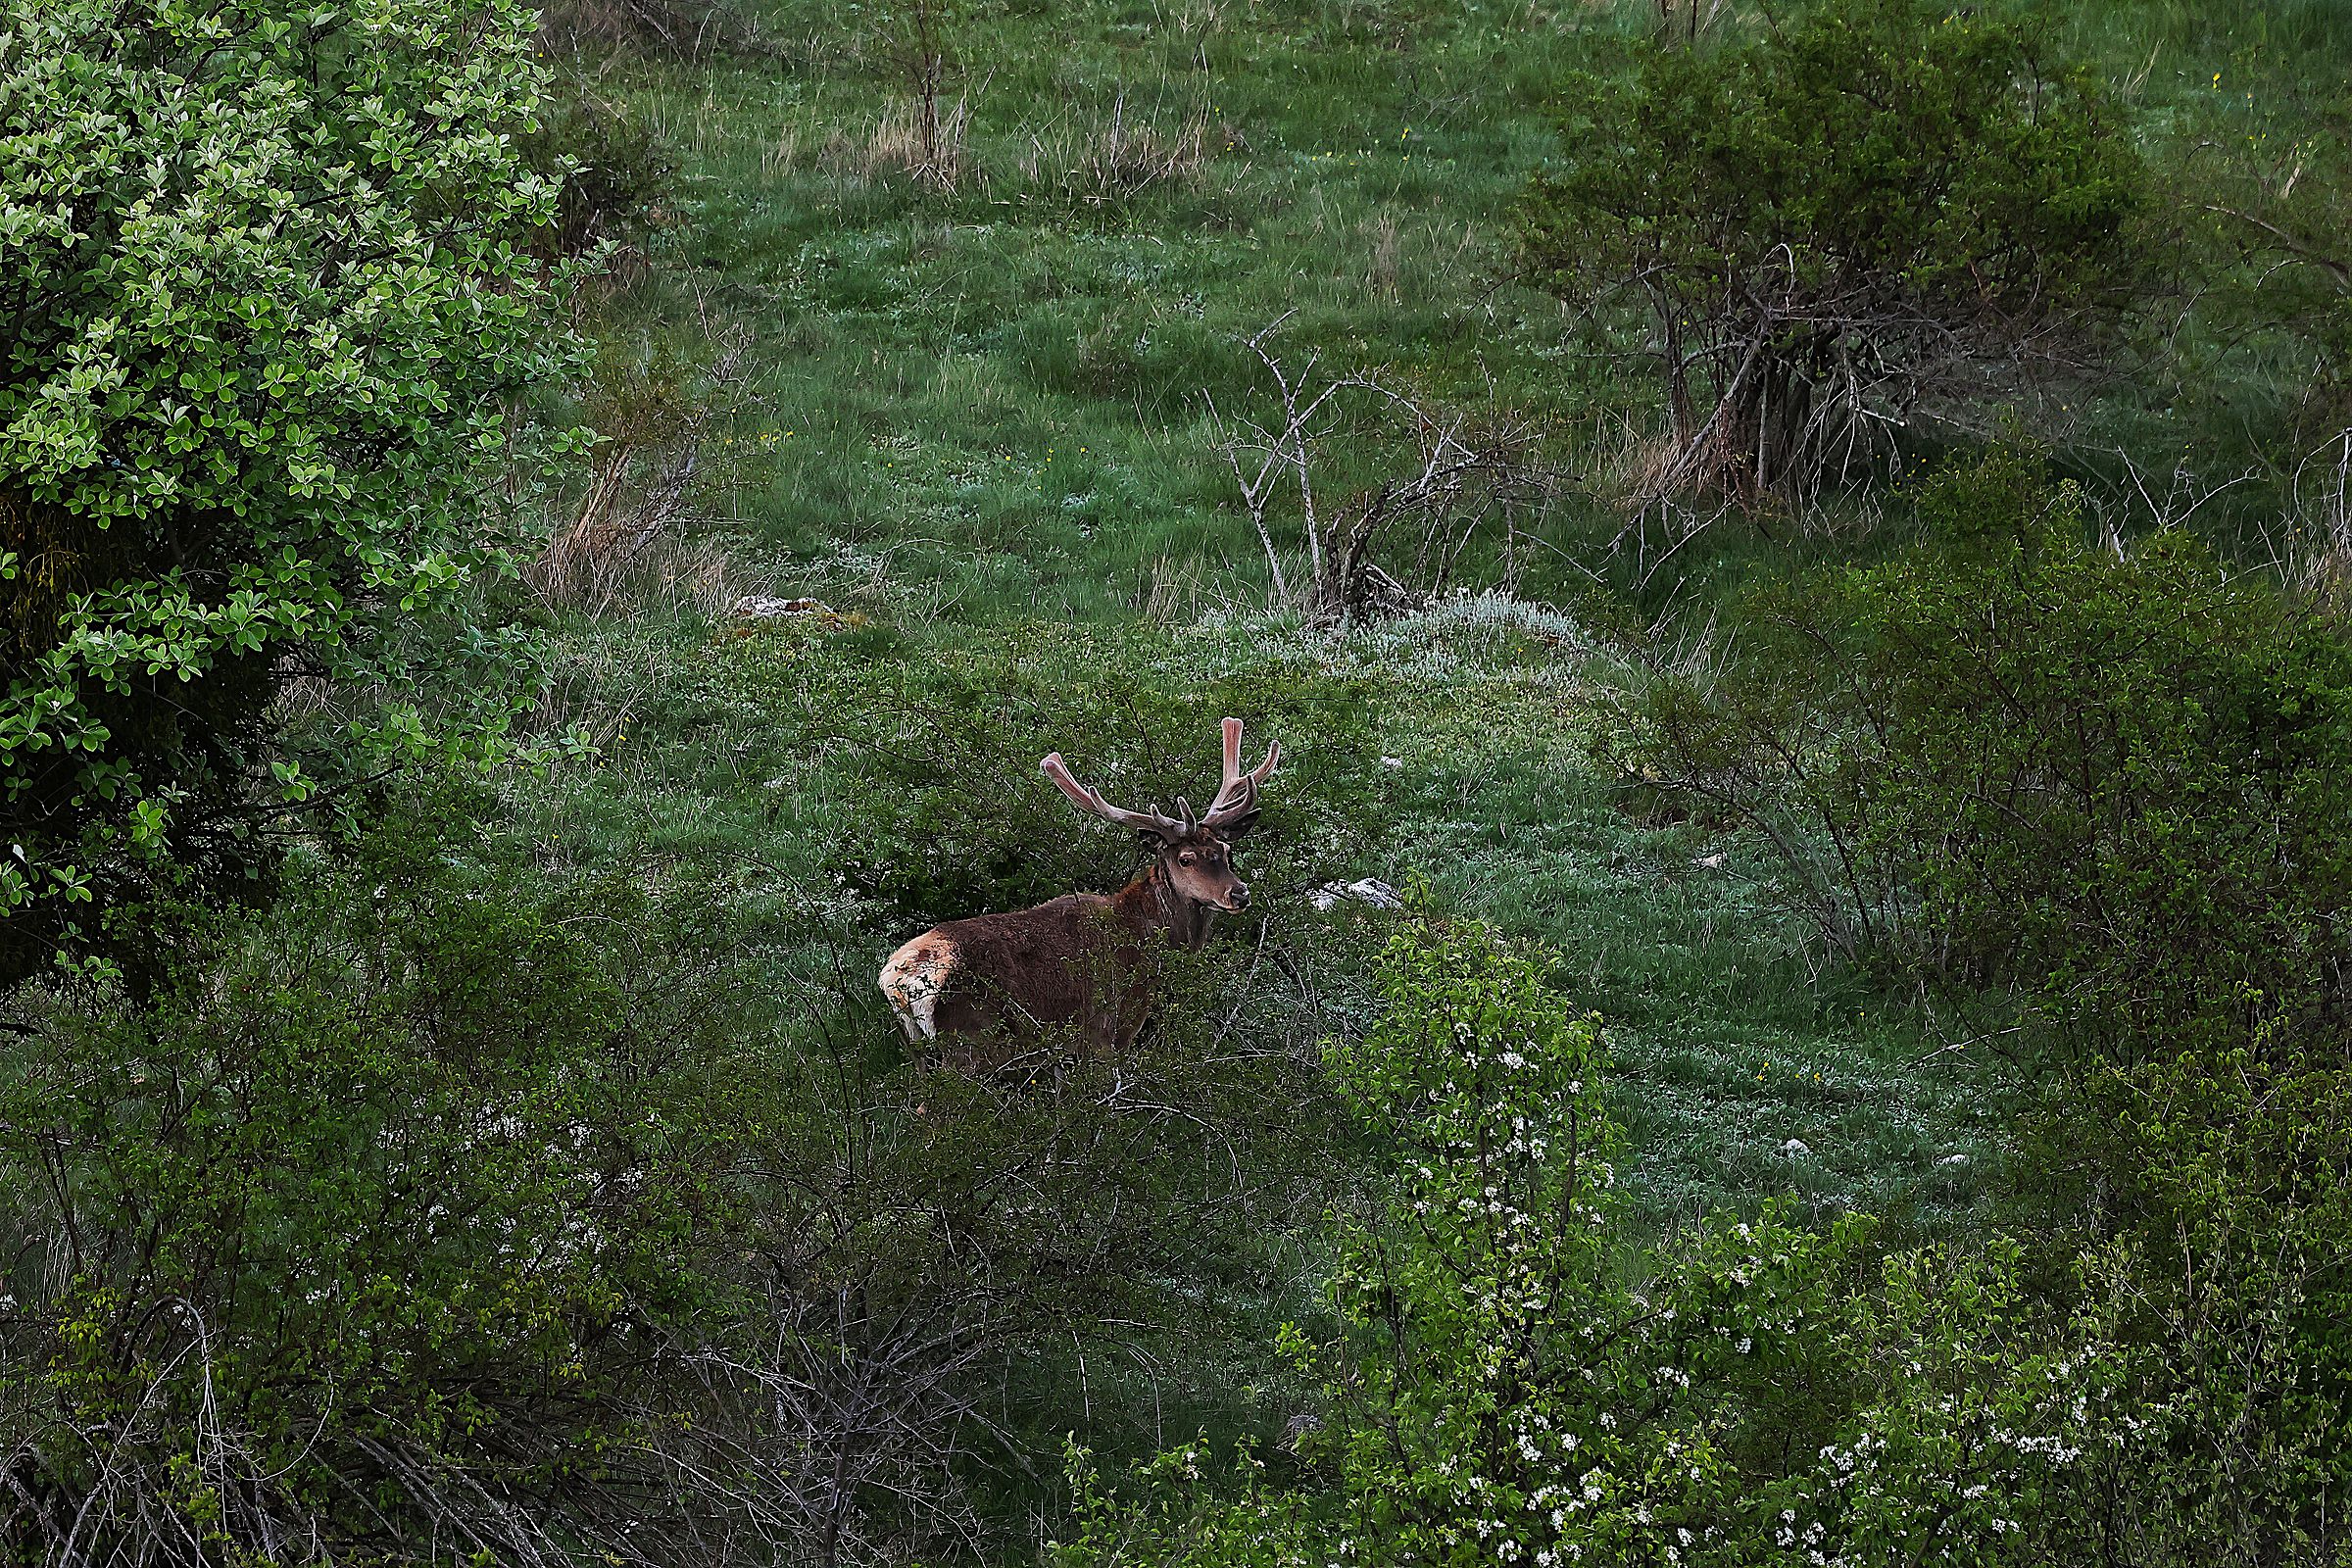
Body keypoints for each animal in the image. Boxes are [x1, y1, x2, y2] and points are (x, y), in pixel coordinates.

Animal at [878, 718, 1279, 1060]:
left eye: (1225, 851)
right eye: (1185, 858)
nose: (1239, 893)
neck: (1144, 944)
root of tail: (897, 981)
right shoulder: (1102, 1029)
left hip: (917, 1048)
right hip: (972, 1038)